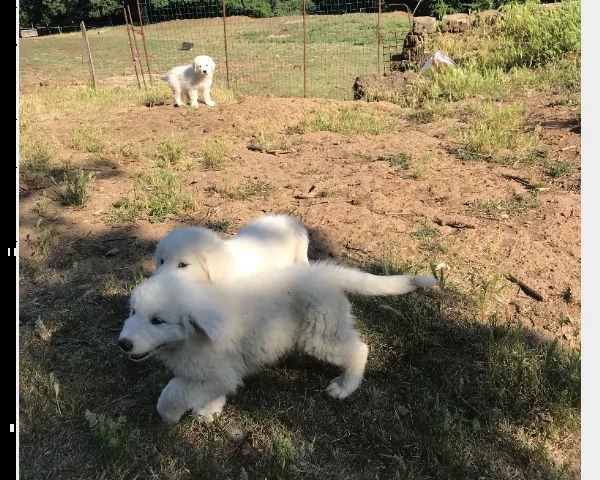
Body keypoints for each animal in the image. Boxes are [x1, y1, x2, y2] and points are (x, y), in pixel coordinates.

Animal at [117, 262, 436, 424]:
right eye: (132, 312)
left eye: (158, 321)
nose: (124, 344)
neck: (190, 337)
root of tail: (325, 272)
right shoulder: (219, 373)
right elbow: (212, 390)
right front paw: (210, 409)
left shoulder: (215, 372)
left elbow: (172, 393)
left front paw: (172, 415)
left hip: (319, 335)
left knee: (359, 349)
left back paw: (345, 387)